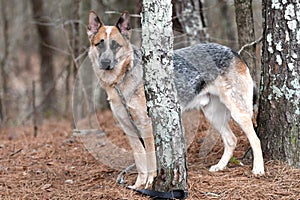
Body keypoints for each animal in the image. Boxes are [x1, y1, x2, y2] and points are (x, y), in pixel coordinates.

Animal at [86, 10, 264, 189]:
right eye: (99, 44)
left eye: (115, 45)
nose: (105, 63)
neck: (121, 80)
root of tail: (233, 51)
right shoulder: (128, 129)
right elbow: (140, 160)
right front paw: (137, 186)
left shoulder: (146, 127)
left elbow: (150, 160)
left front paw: (149, 183)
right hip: (213, 115)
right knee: (231, 140)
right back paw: (220, 166)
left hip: (238, 112)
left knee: (255, 140)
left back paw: (258, 169)